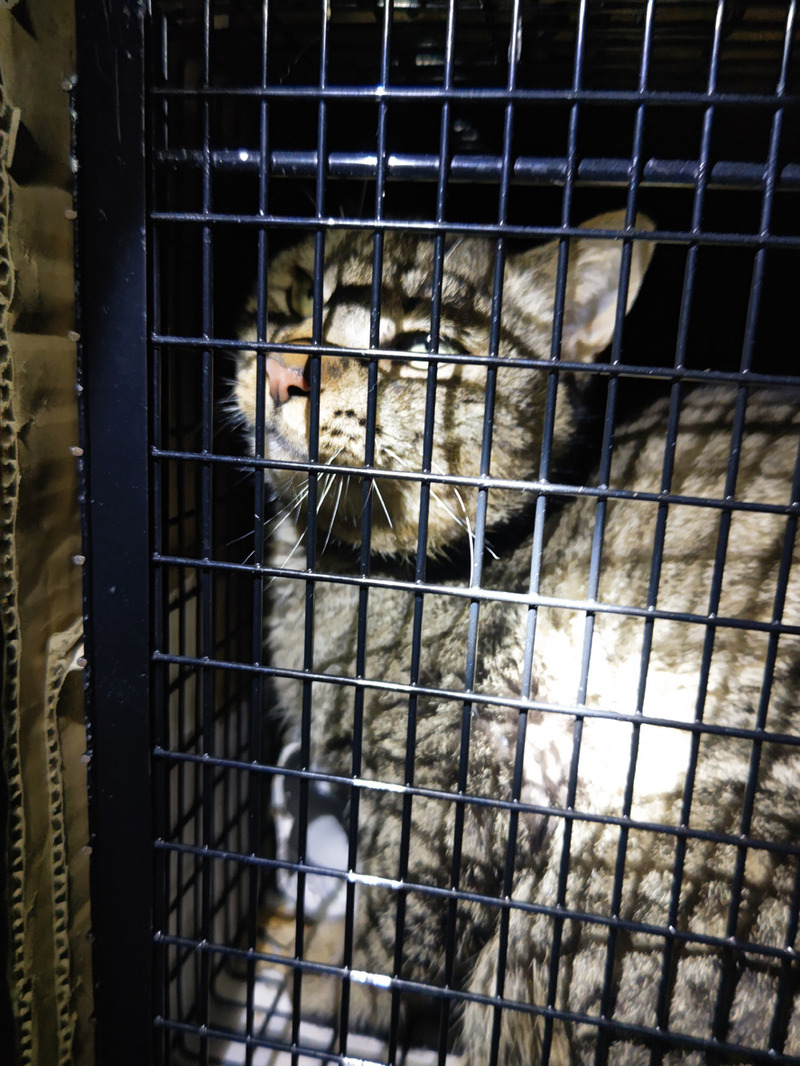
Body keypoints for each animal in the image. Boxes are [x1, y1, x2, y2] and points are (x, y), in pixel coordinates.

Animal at [233, 213, 800, 1064]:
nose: (281, 372)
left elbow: (391, 945)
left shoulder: (455, 813)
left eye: (424, 348)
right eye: (301, 295)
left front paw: (317, 971)